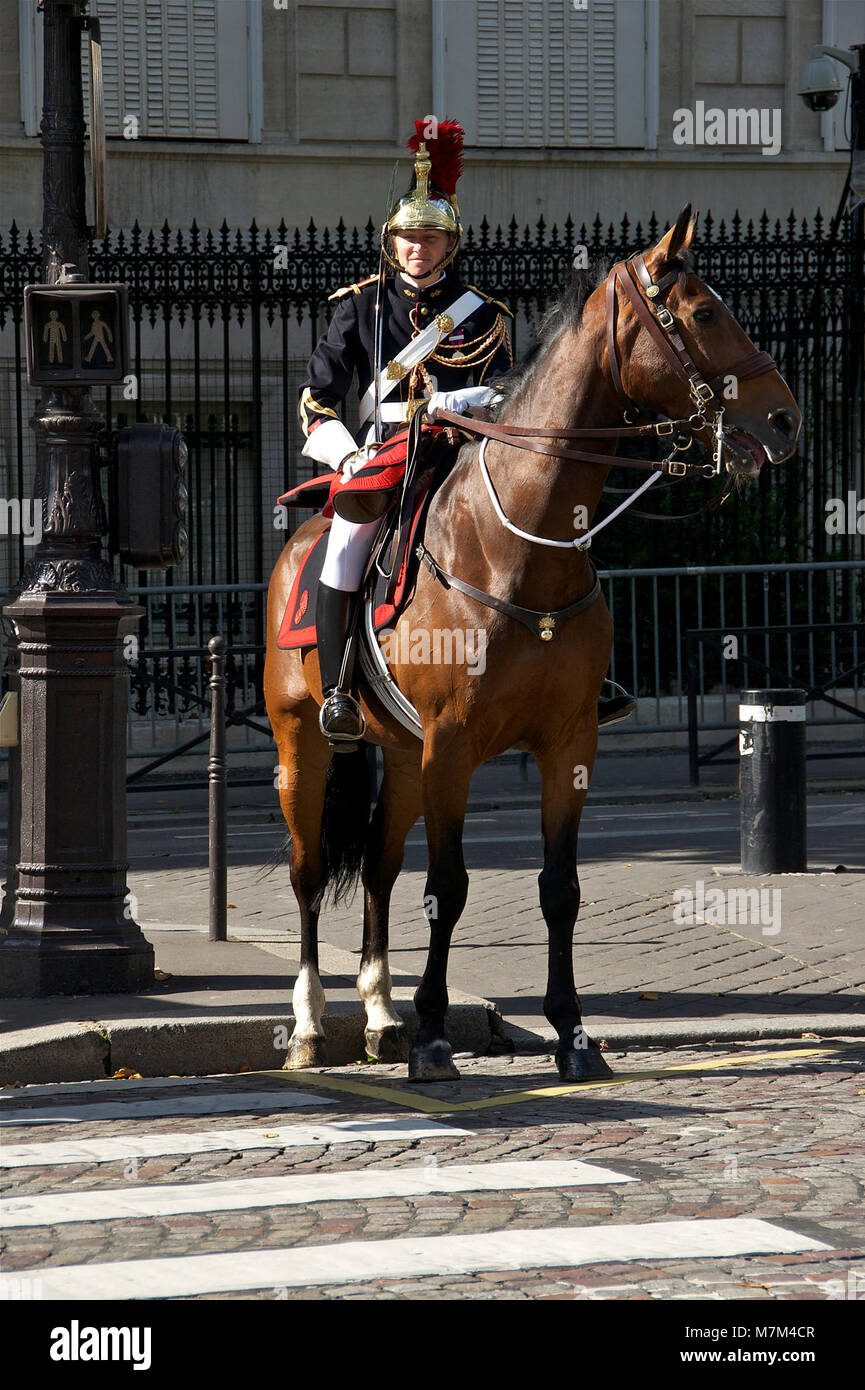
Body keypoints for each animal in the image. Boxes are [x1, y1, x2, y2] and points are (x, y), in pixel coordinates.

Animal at [263, 206, 802, 1084]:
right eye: (701, 313)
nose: (784, 420)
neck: (521, 542)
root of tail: (302, 534)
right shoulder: (450, 744)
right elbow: (448, 886)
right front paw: (436, 1038)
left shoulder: (567, 743)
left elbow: (560, 888)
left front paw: (572, 1034)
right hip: (301, 739)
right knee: (309, 871)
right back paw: (310, 1026)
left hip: (401, 755)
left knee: (377, 868)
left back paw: (379, 1018)